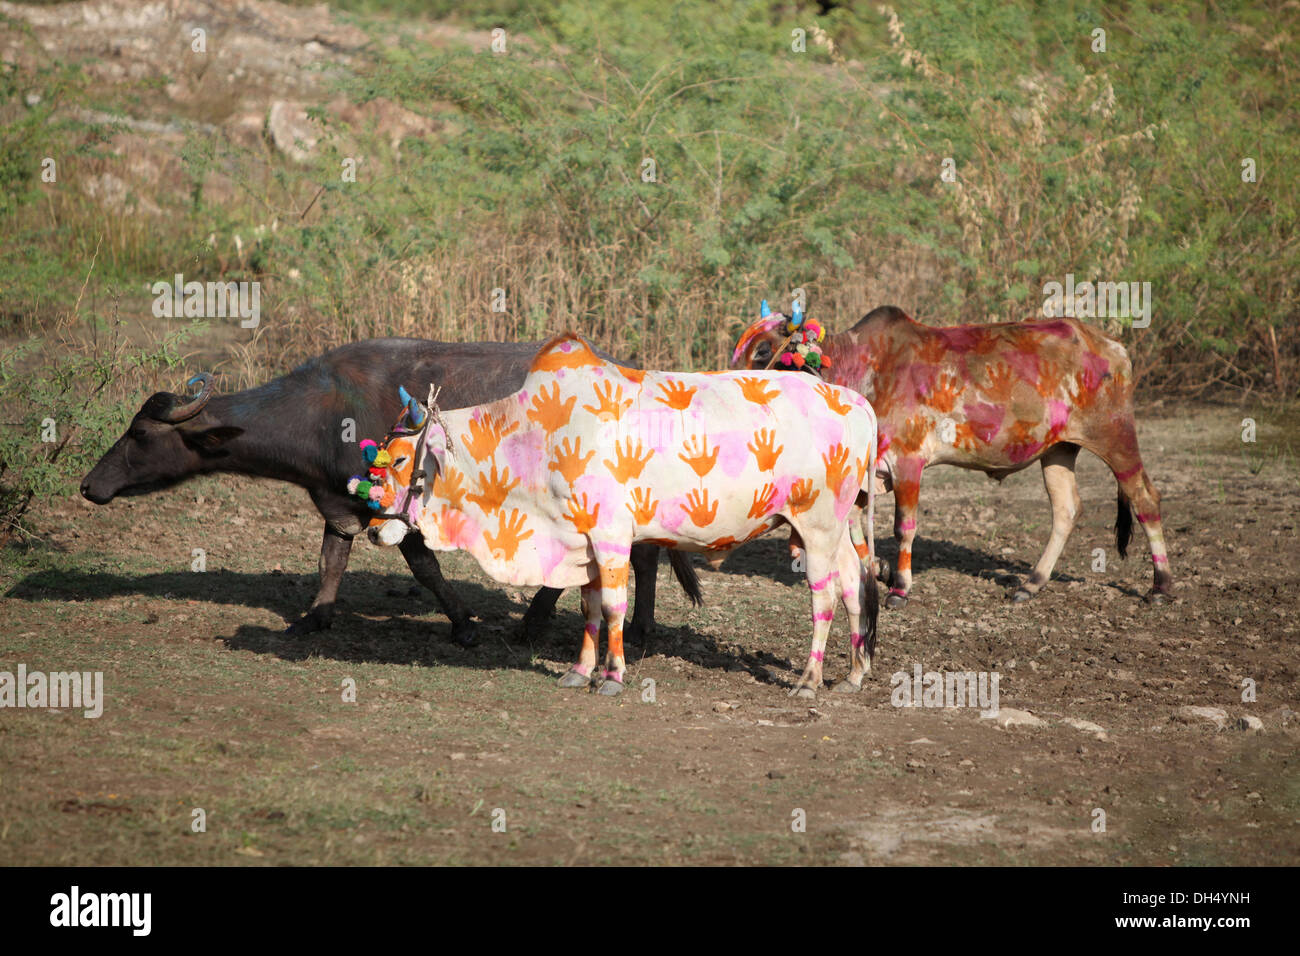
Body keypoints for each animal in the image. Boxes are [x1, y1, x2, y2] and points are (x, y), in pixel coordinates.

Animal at [81, 335, 702, 642]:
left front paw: (463, 625)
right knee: (640, 553)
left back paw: (540, 625)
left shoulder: (404, 505)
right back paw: (634, 627)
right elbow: (332, 556)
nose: (90, 485)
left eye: (140, 432)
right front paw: (316, 617)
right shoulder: (338, 499)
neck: (323, 411)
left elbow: (424, 567)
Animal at [364, 332, 883, 697]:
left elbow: (614, 606)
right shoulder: (583, 541)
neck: (538, 437)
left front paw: (613, 676)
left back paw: (810, 680)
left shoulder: (612, 535)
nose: (371, 528)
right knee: (854, 583)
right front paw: (580, 671)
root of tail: (855, 401)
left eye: (398, 459)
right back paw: (854, 675)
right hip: (837, 526)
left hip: (815, 525)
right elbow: (589, 608)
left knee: (825, 596)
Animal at [738, 304, 1175, 606]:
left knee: (1144, 498)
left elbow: (904, 527)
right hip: (1058, 450)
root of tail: (1112, 346)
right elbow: (857, 528)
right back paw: (1031, 584)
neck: (863, 369)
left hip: (1115, 436)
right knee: (1066, 510)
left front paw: (900, 587)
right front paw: (876, 569)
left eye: (763, 352)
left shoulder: (908, 462)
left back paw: (1161, 585)